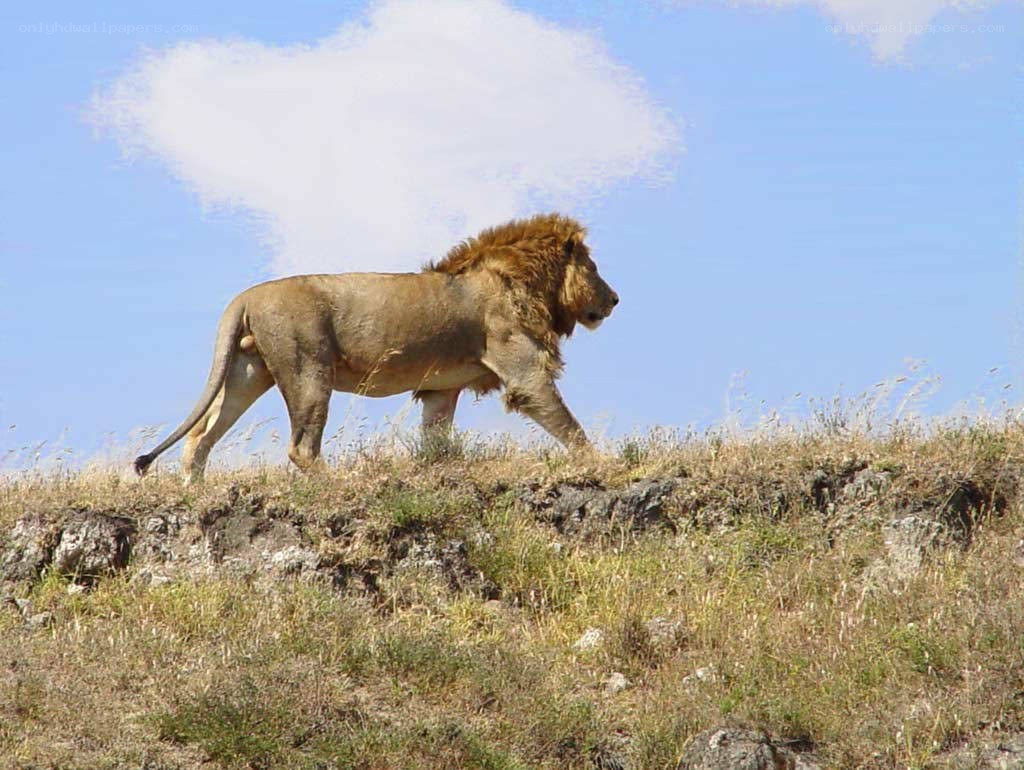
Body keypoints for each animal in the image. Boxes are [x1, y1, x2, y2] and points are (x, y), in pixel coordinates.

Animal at [133, 213, 619, 482]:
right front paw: (601, 464)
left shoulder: (440, 390)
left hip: (248, 374)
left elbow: (437, 439)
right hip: (309, 372)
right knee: (301, 448)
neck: (520, 281)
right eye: (594, 267)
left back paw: (194, 488)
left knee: (201, 435)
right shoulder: (524, 373)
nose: (614, 299)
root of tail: (246, 296)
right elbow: (569, 427)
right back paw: (338, 482)